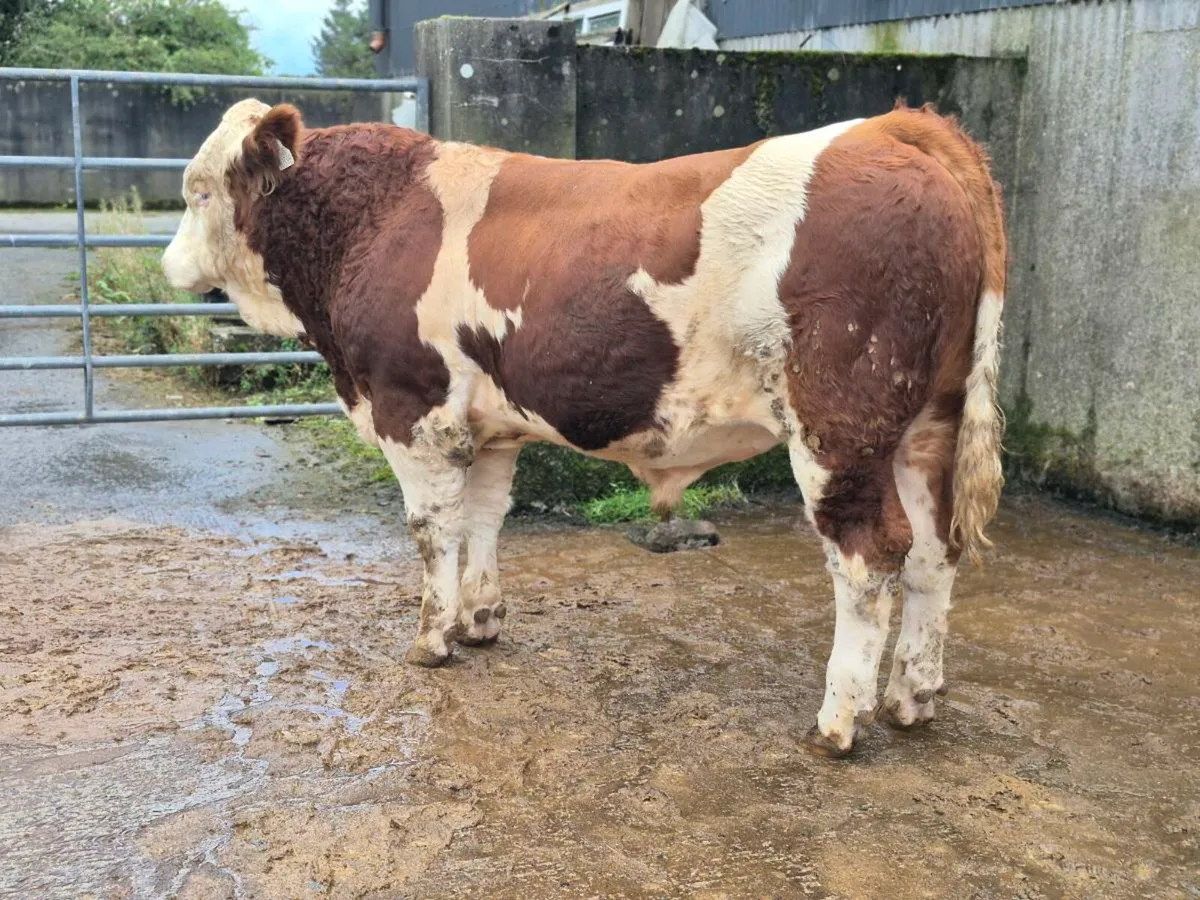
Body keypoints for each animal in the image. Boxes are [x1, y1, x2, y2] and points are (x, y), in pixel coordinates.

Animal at [162, 99, 1006, 758]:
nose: (167, 268)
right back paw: (912, 697)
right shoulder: (491, 427)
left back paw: (838, 722)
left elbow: (432, 531)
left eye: (199, 192)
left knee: (869, 560)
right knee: (934, 553)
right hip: (925, 427)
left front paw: (432, 638)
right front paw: (480, 620)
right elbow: (485, 518)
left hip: (839, 431)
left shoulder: (411, 409)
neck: (374, 220)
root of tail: (893, 129)